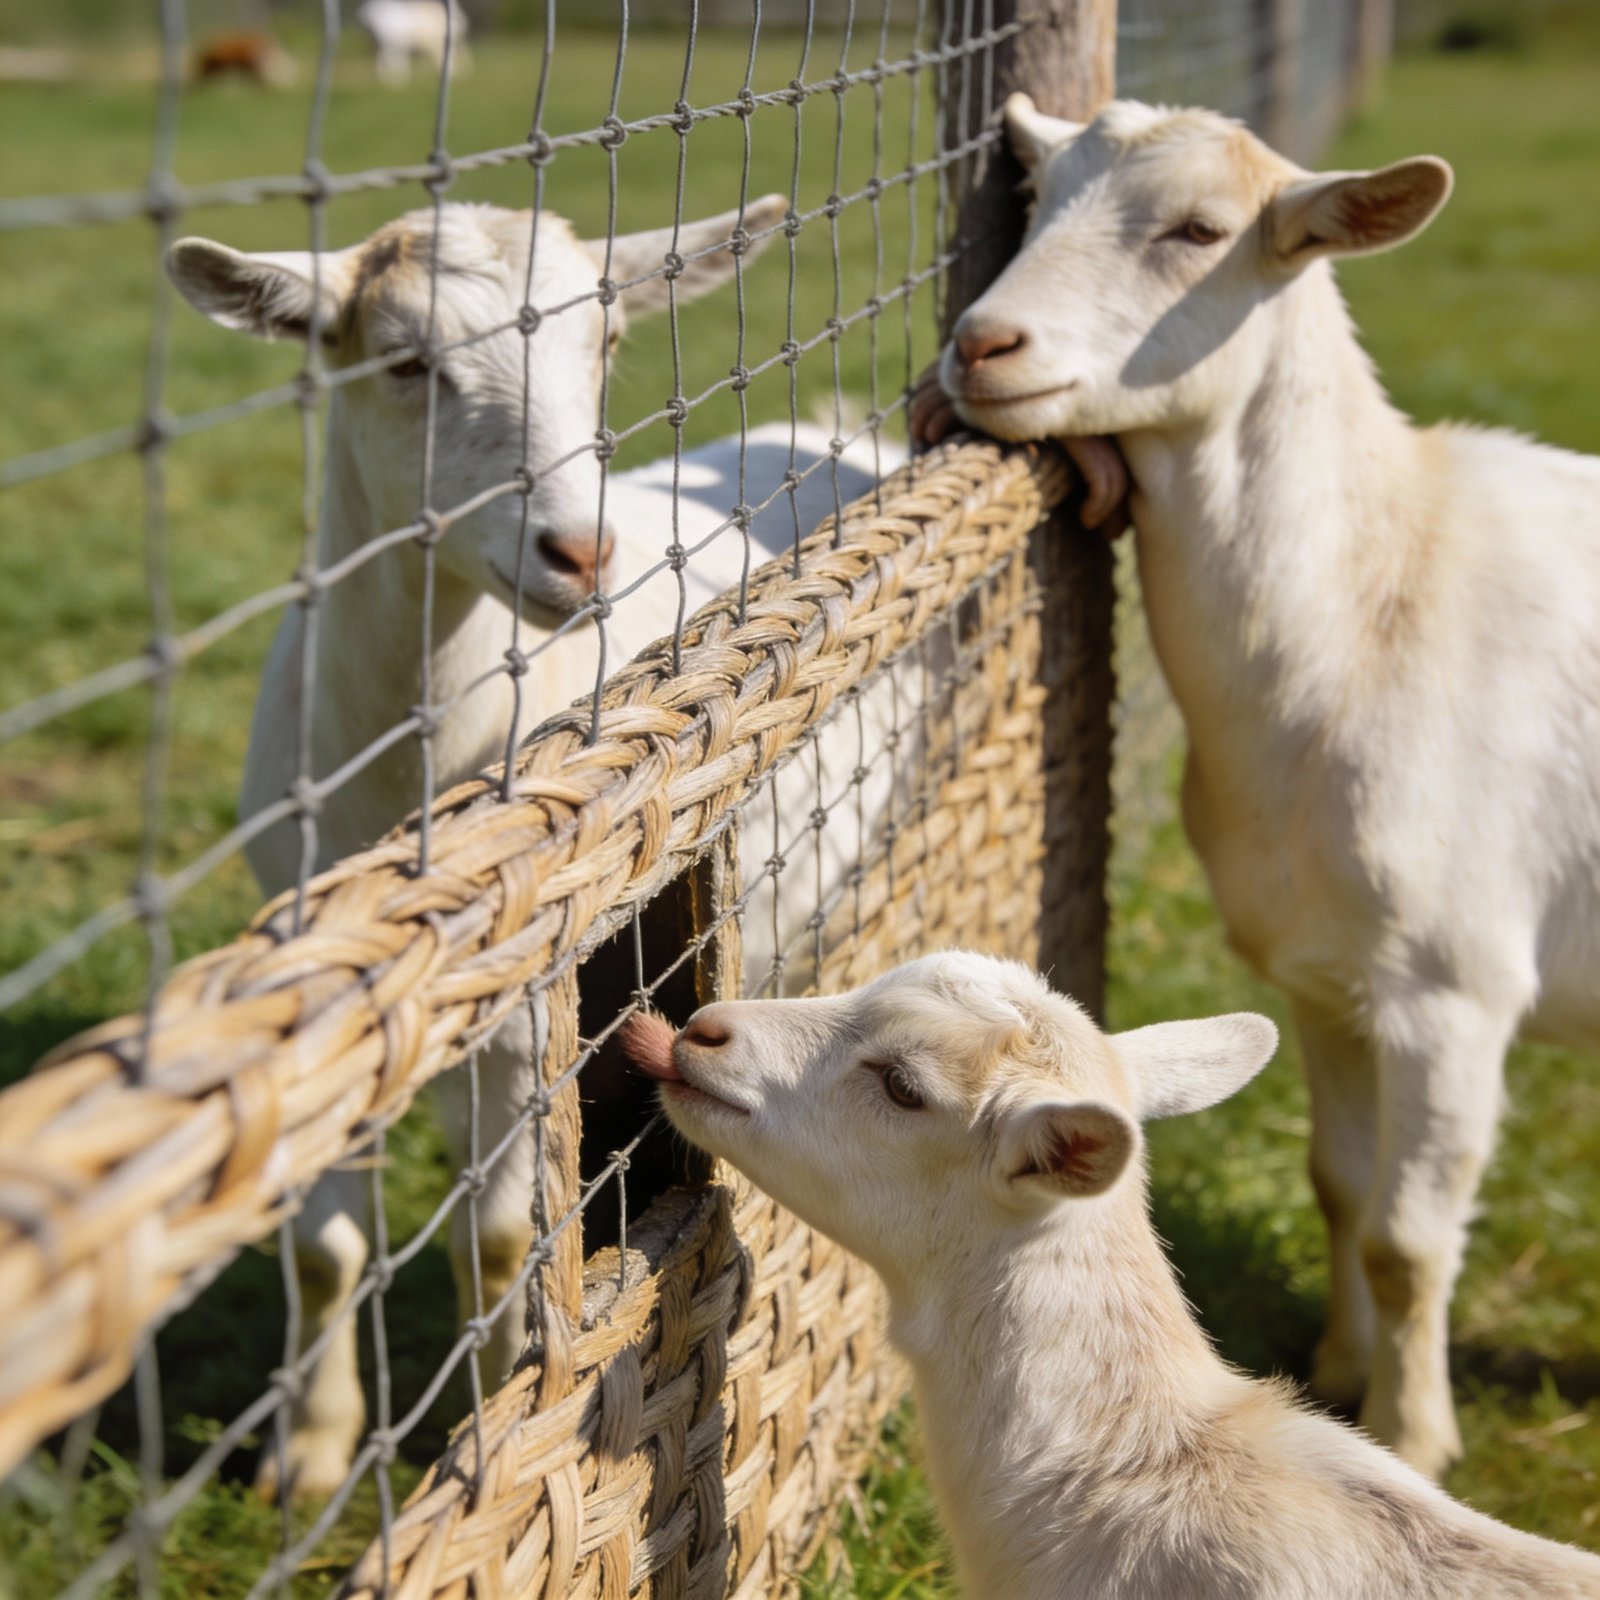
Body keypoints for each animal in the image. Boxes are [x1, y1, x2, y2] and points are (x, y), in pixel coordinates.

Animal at [168, 198, 906, 1497]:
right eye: (403, 362)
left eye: (605, 340)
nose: (581, 552)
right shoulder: (322, 1002)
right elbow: (325, 1250)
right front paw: (306, 1456)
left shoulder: (530, 1017)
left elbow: (501, 1232)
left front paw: (488, 1418)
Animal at [915, 94, 1600, 1480]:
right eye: (1035, 195)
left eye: (1199, 231)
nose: (980, 345)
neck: (1382, 601)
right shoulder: (1327, 977)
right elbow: (1337, 1185)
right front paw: (1336, 1369)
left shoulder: (1453, 988)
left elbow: (1406, 1237)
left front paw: (1413, 1433)